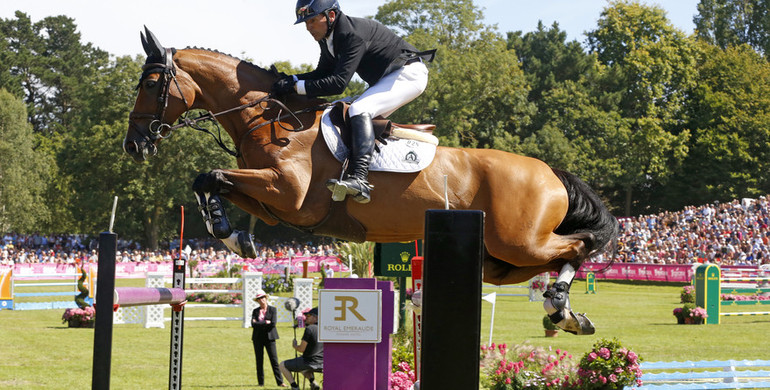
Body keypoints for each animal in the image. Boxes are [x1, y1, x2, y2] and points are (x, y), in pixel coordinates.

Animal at [123, 28, 616, 336]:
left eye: (150, 84)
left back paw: (560, 305)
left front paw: (226, 232)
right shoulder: (278, 204)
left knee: (579, 245)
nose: (133, 145)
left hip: (520, 242)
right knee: (549, 261)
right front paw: (233, 237)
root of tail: (551, 171)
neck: (271, 120)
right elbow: (214, 182)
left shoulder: (289, 194)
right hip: (503, 258)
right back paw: (566, 314)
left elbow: (208, 175)